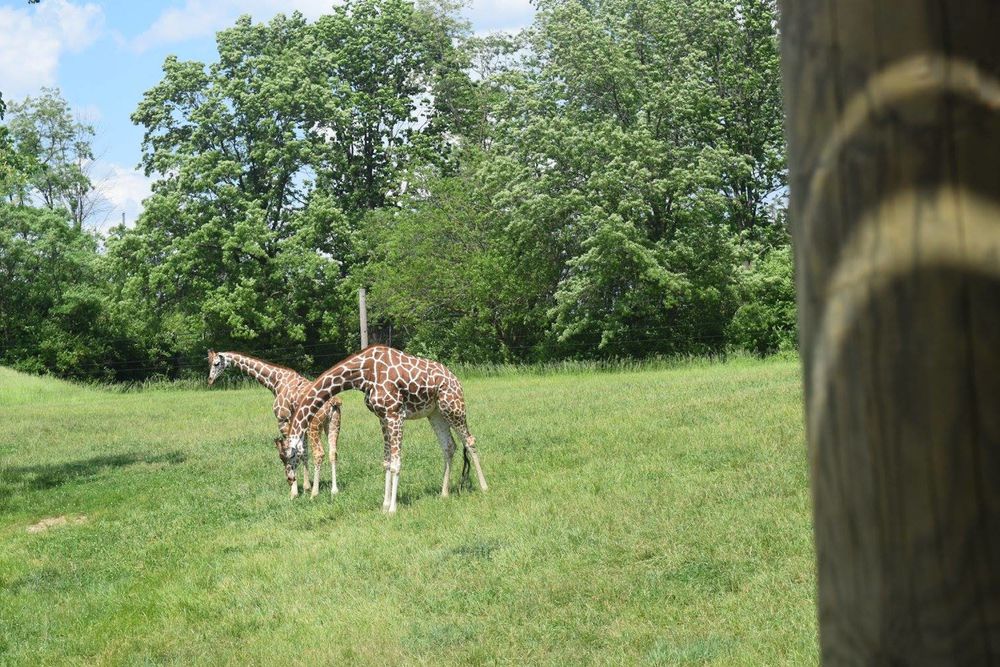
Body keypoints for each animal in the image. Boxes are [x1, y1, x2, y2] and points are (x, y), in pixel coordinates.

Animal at [207, 350, 343, 499]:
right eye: (209, 363)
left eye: (216, 363)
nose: (210, 380)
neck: (275, 382)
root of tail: (333, 402)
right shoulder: (299, 424)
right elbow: (303, 452)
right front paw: (306, 486)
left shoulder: (283, 420)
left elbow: (292, 453)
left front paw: (294, 492)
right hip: (332, 424)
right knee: (333, 452)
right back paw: (334, 490)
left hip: (315, 426)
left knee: (319, 453)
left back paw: (315, 493)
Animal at [278, 345, 487, 513]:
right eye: (281, 458)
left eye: (289, 457)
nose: (289, 479)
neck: (363, 374)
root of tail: (455, 378)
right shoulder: (382, 417)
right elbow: (386, 462)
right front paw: (384, 505)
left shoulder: (396, 414)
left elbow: (396, 463)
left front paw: (393, 509)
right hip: (435, 413)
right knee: (449, 446)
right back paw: (444, 493)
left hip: (453, 406)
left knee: (470, 440)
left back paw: (484, 487)